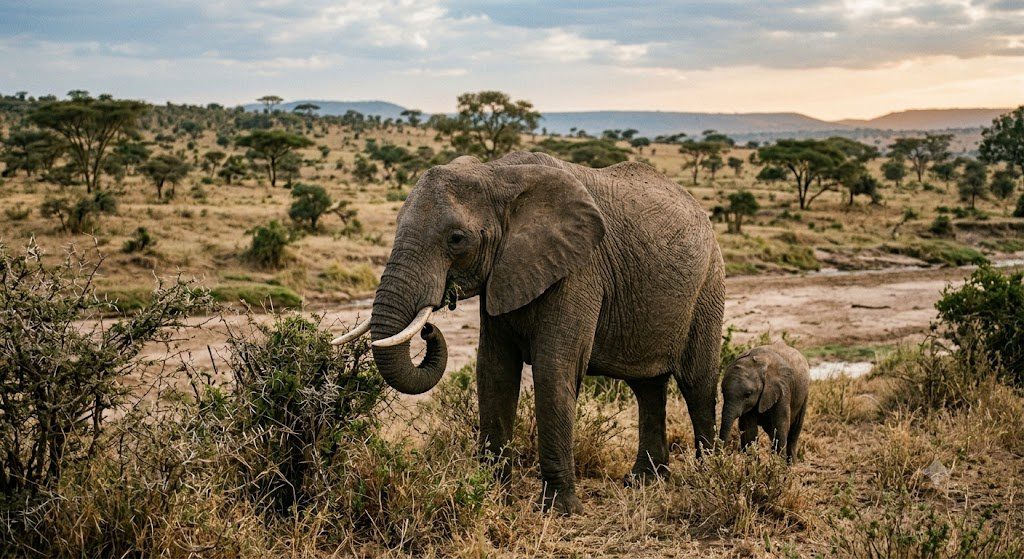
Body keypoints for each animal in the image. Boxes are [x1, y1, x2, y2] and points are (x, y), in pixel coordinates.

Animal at [333, 151, 725, 514]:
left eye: (457, 239)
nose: (429, 327)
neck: (495, 174)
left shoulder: (579, 269)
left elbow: (554, 371)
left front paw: (559, 510)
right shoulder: (503, 272)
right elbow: (494, 371)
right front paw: (492, 497)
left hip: (708, 283)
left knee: (697, 383)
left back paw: (708, 474)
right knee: (648, 387)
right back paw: (643, 481)